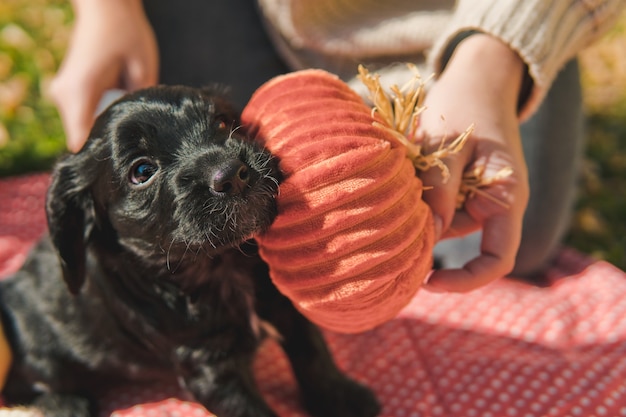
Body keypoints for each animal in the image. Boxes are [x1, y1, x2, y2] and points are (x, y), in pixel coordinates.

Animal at [0, 85, 378, 416]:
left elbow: (312, 353)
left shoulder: (279, 304)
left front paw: (343, 398)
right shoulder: (209, 368)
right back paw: (65, 404)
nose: (233, 174)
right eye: (142, 171)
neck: (221, 263)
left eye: (222, 123)